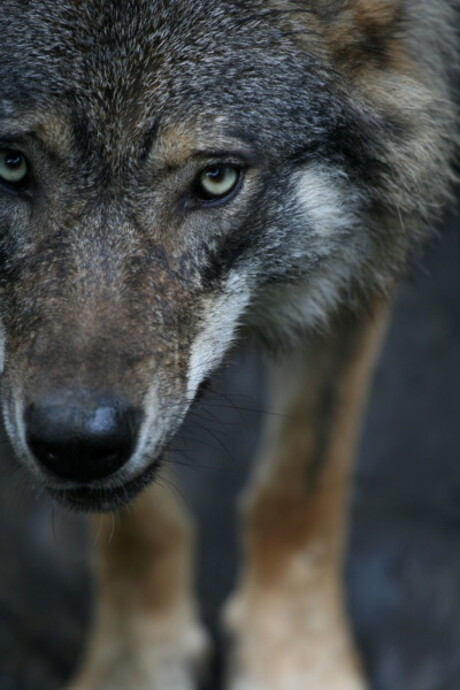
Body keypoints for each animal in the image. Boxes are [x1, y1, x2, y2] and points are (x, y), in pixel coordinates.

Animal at [0, 0, 458, 688]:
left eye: (216, 179)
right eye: (10, 165)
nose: (76, 443)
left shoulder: (369, 247)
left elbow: (301, 486)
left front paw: (296, 666)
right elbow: (141, 524)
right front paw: (134, 665)